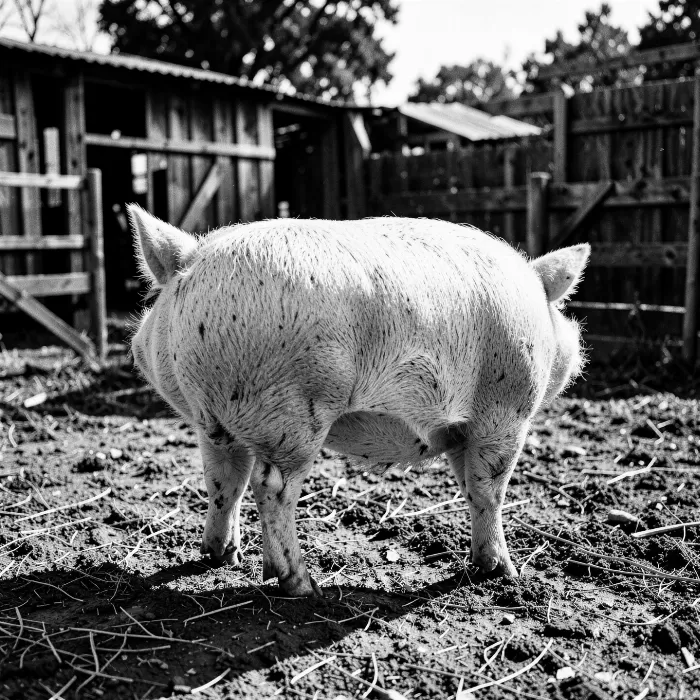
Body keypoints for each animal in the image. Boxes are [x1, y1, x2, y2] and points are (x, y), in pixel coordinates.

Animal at [128, 206, 589, 597]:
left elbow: (469, 486)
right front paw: (503, 573)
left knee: (225, 480)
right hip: (292, 411)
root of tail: (192, 260)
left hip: (214, 419)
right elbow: (489, 490)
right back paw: (302, 585)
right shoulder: (504, 415)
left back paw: (223, 555)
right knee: (271, 487)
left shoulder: (465, 431)